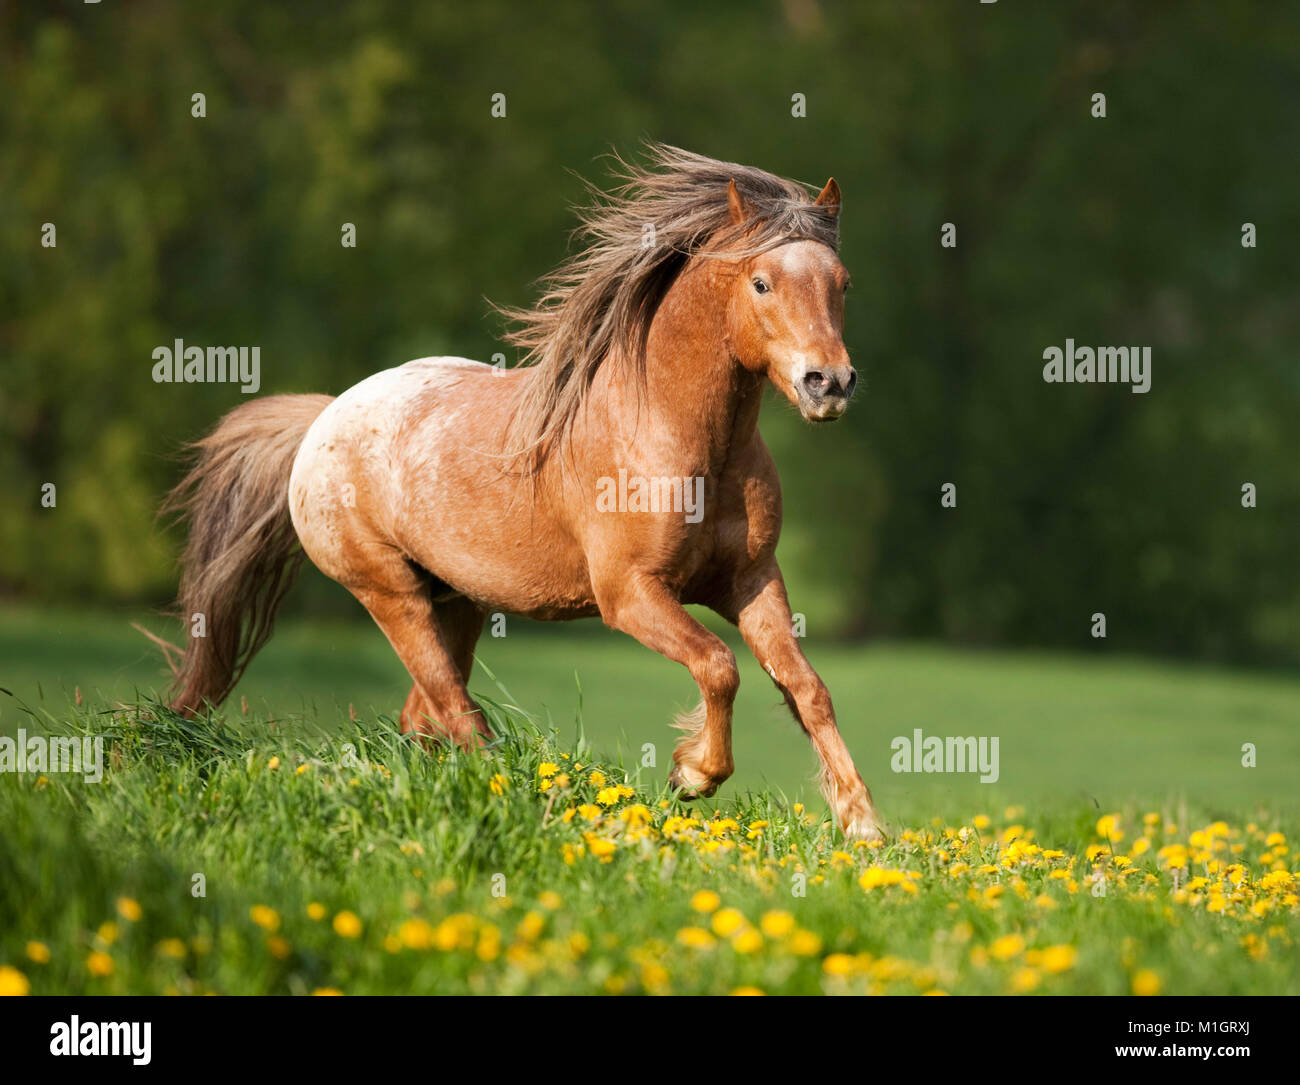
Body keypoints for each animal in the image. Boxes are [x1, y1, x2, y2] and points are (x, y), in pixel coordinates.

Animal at [162, 144, 889, 842]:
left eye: (844, 284)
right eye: (761, 282)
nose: (829, 383)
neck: (672, 435)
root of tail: (322, 418)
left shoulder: (751, 580)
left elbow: (806, 687)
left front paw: (863, 825)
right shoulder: (630, 594)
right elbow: (718, 665)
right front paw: (693, 774)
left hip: (458, 604)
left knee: (424, 716)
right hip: (390, 595)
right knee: (458, 715)